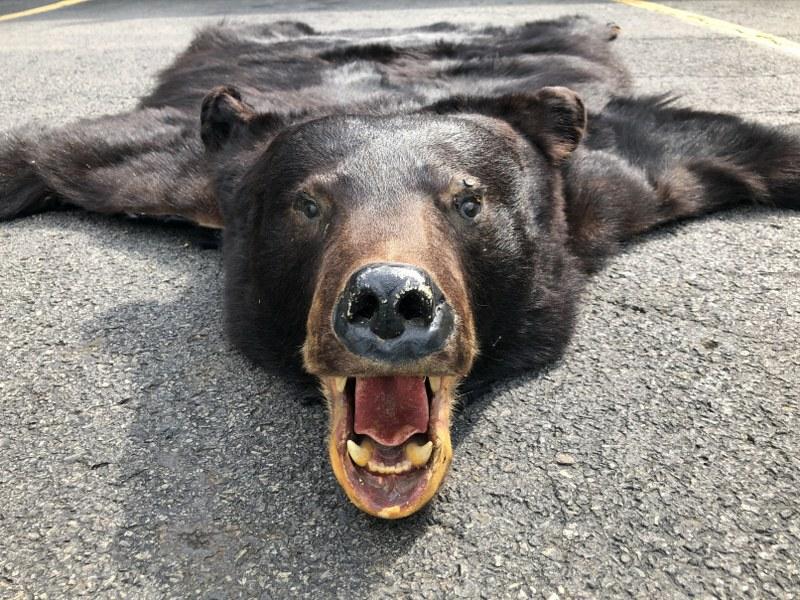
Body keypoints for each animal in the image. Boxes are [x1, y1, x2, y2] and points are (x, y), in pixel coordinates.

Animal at [1, 17, 798, 519]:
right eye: (308, 204)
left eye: (468, 200)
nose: (388, 300)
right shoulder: (175, 171)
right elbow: (54, 154)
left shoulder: (610, 183)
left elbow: (724, 145)